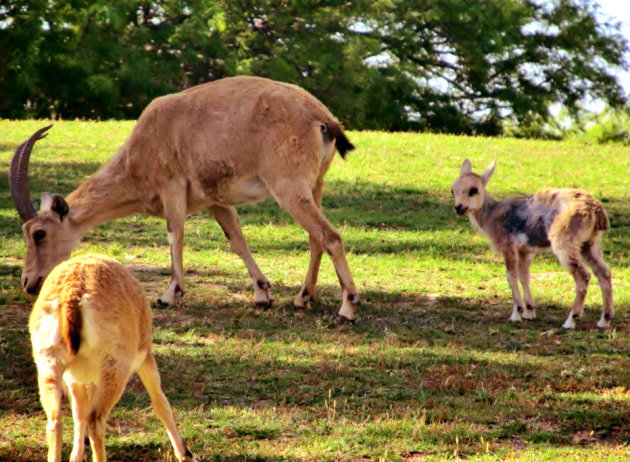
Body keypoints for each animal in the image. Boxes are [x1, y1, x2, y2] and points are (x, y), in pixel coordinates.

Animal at [8, 76, 360, 322]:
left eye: (39, 233)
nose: (28, 282)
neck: (140, 152)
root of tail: (322, 118)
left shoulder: (172, 187)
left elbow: (174, 235)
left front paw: (169, 294)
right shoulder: (216, 201)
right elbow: (237, 240)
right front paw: (262, 294)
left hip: (287, 187)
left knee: (330, 236)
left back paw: (347, 308)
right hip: (314, 186)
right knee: (316, 239)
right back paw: (303, 298)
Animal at [30, 254, 194, 460]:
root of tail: (71, 297)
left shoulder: (76, 380)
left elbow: (78, 413)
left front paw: (77, 456)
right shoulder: (145, 357)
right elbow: (160, 402)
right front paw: (186, 454)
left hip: (48, 364)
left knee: (55, 421)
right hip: (116, 369)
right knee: (95, 420)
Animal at [452, 159, 616, 328]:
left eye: (473, 190)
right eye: (453, 191)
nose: (458, 207)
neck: (492, 216)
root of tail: (597, 211)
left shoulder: (508, 246)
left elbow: (511, 276)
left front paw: (516, 314)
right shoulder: (525, 251)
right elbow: (524, 275)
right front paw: (529, 312)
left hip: (565, 243)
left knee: (583, 276)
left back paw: (571, 320)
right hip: (590, 244)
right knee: (604, 272)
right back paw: (604, 320)